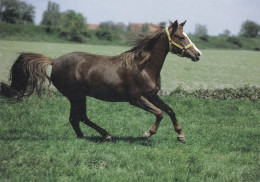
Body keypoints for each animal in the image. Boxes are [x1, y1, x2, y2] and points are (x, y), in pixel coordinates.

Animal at [0, 20, 201, 143]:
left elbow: (170, 110)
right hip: (76, 95)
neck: (143, 67)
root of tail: (54, 61)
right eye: (181, 37)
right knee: (79, 116)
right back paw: (105, 135)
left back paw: (84, 137)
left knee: (75, 118)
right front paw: (146, 133)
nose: (198, 54)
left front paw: (181, 135)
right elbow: (159, 113)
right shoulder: (136, 99)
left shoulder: (152, 95)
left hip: (77, 96)